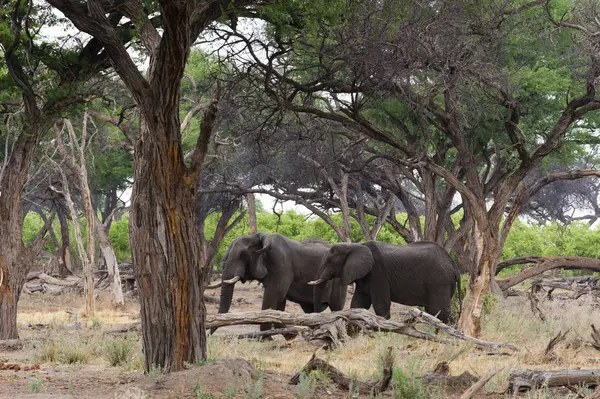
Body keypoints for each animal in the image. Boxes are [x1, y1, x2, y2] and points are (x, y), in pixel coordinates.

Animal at [214, 233, 346, 332]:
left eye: (242, 255)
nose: (210, 335)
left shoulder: (282, 266)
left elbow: (273, 296)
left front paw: (265, 338)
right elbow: (279, 301)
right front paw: (287, 333)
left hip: (338, 280)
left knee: (336, 307)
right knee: (310, 310)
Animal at [310, 242, 460, 324]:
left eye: (330, 261)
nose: (324, 304)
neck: (354, 245)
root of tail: (453, 264)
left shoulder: (378, 272)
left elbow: (380, 304)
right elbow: (358, 304)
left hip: (439, 281)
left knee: (438, 311)